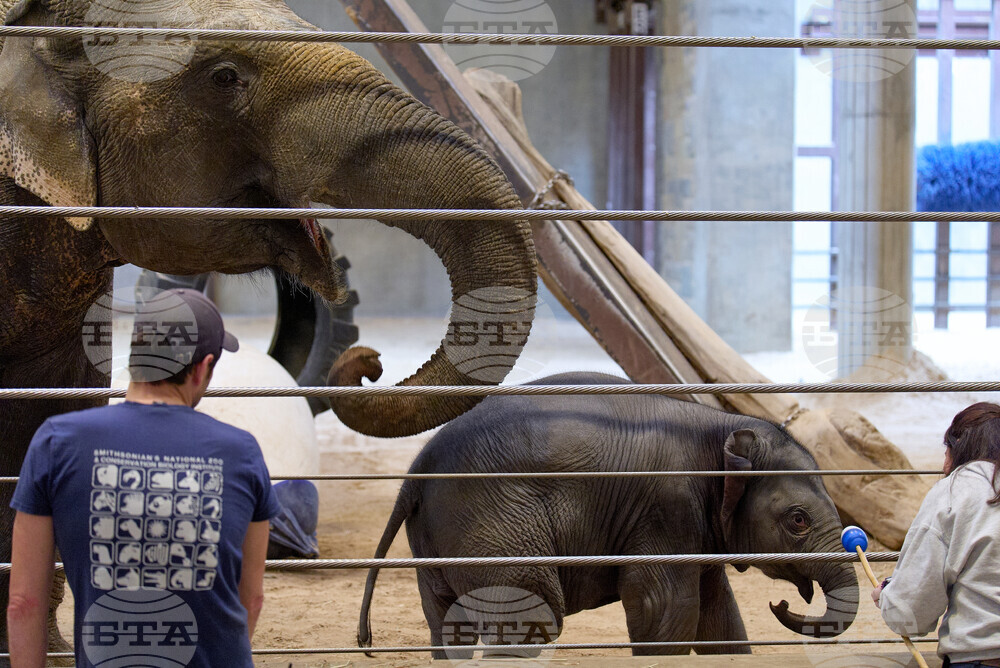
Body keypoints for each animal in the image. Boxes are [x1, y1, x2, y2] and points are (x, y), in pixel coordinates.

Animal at [359, 372, 860, 657]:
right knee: (532, 617)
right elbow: (664, 607)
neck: (719, 429)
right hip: (494, 525)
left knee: (448, 625)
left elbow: (719, 614)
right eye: (798, 520)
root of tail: (416, 470)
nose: (780, 605)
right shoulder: (666, 508)